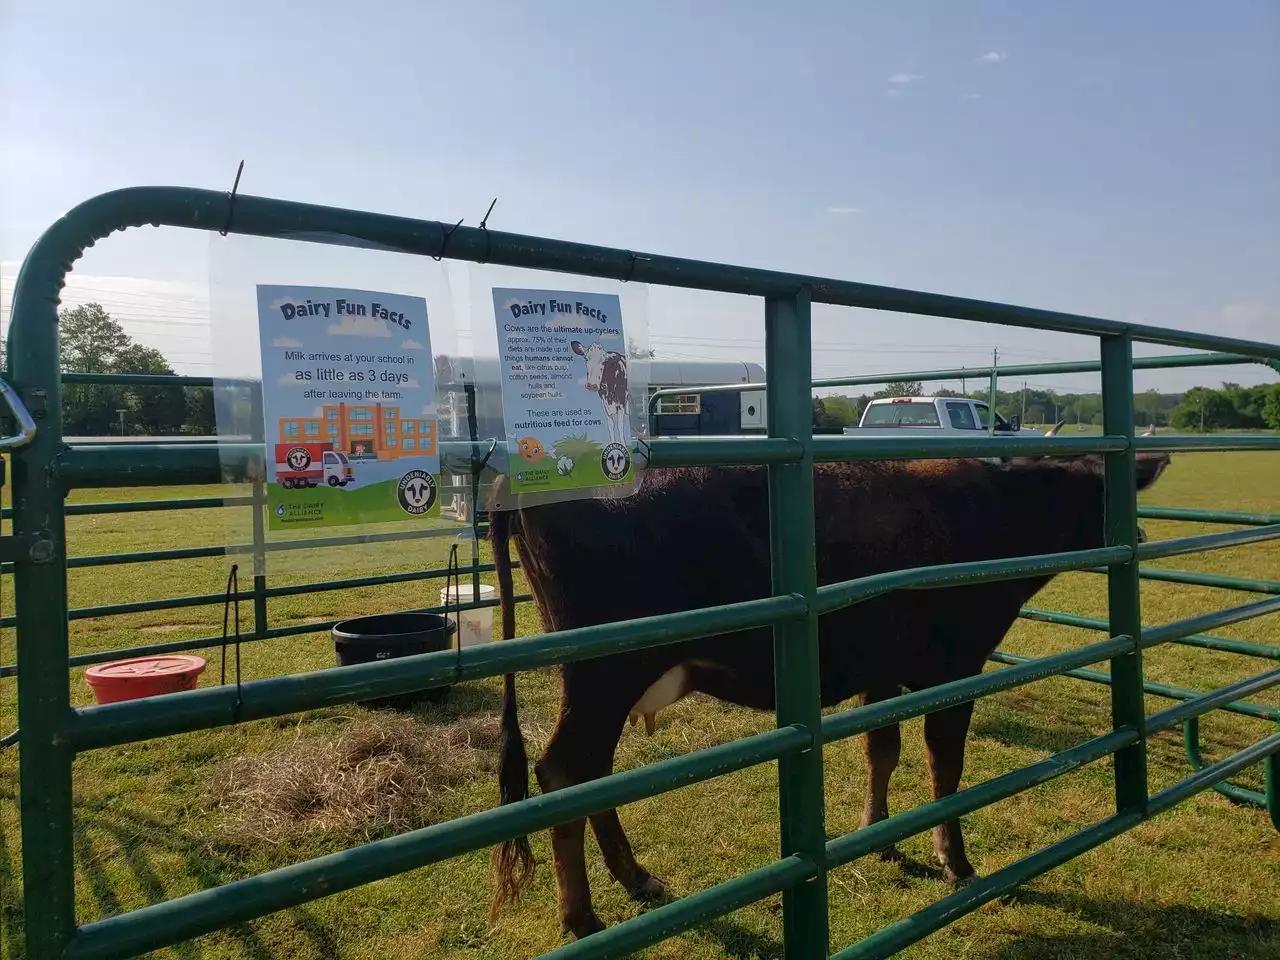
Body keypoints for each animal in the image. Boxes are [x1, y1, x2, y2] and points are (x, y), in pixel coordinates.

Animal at [486, 442, 1172, 942]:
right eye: (1107, 493)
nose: (1139, 537)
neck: (1001, 513)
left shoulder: (886, 671)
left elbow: (883, 751)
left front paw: (880, 835)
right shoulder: (954, 665)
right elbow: (945, 766)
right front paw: (955, 861)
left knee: (592, 776)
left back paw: (636, 879)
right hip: (604, 674)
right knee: (564, 773)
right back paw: (581, 917)